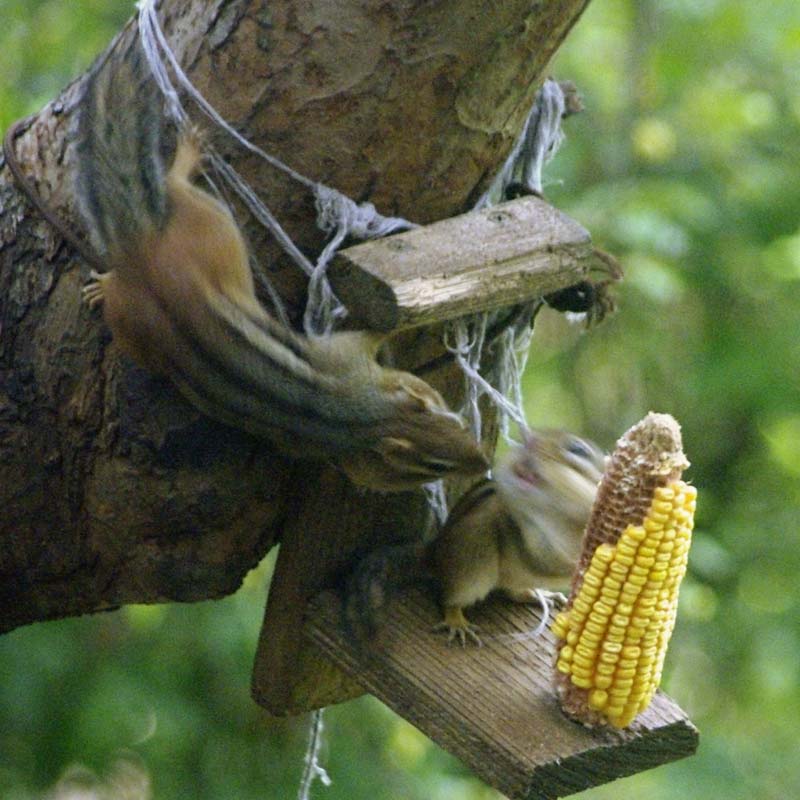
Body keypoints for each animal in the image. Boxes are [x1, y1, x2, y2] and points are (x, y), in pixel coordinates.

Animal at [69, 46, 488, 491]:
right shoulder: (349, 356)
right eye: (434, 465)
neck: (360, 419)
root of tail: (142, 249)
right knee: (175, 183)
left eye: (452, 417)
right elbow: (374, 332)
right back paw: (188, 152)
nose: (484, 462)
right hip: (214, 223)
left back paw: (102, 284)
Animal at [346, 428, 607, 644]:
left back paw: (540, 594)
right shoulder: (529, 536)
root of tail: (434, 552)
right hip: (472, 561)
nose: (530, 442)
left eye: (577, 450)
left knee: (512, 591)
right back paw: (456, 621)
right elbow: (547, 560)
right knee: (449, 597)